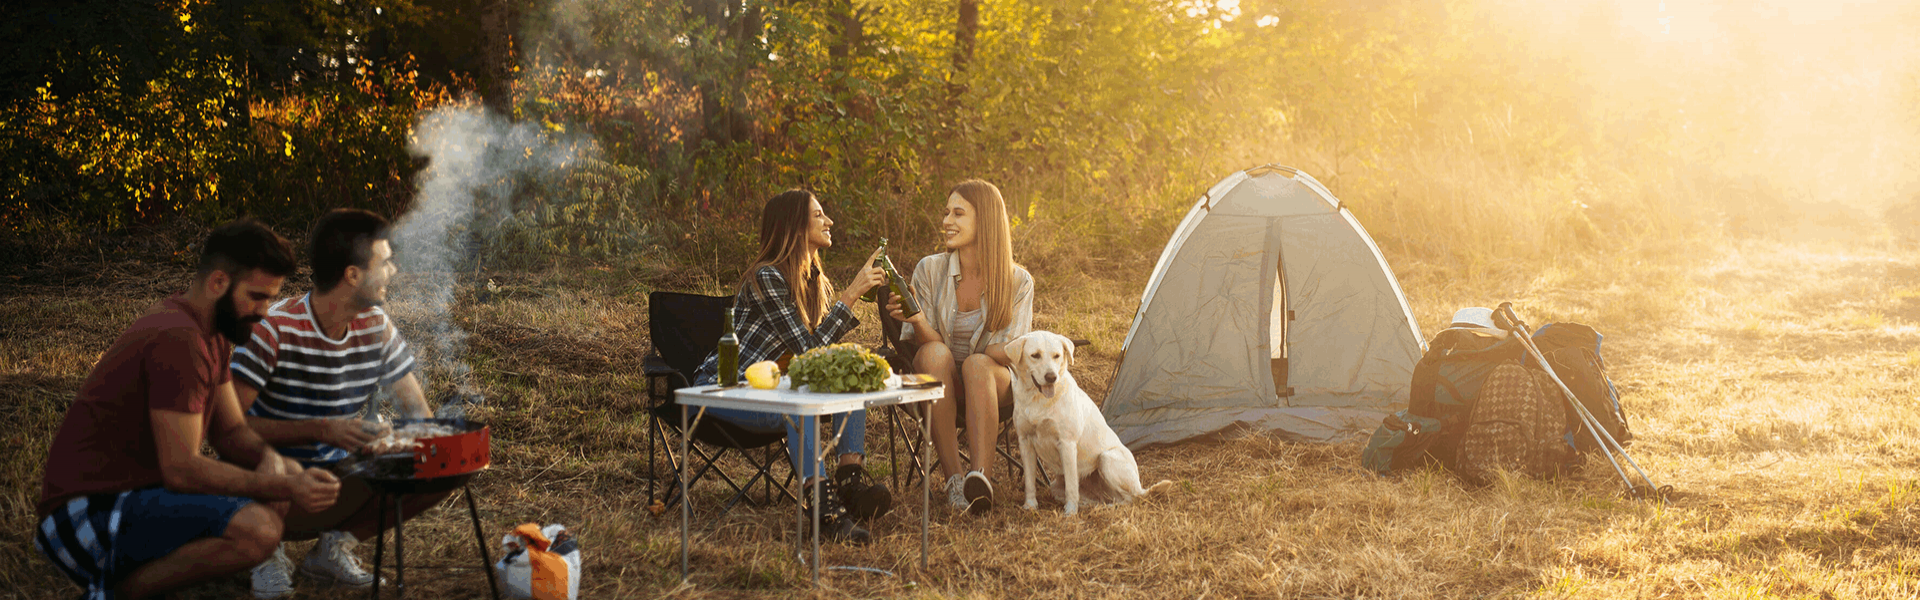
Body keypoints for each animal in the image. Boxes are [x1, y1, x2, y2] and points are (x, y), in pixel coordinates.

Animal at [1006, 330, 1167, 511]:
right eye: (1035, 355)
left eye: (1057, 356)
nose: (1051, 377)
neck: (1038, 399)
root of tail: (1140, 487)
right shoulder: (1025, 441)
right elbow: (1029, 481)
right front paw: (1030, 505)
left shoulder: (1067, 443)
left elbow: (1071, 485)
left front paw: (1070, 512)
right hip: (1056, 486)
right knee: (1107, 499)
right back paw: (1092, 505)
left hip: (1106, 459)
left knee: (1130, 498)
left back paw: (1106, 508)